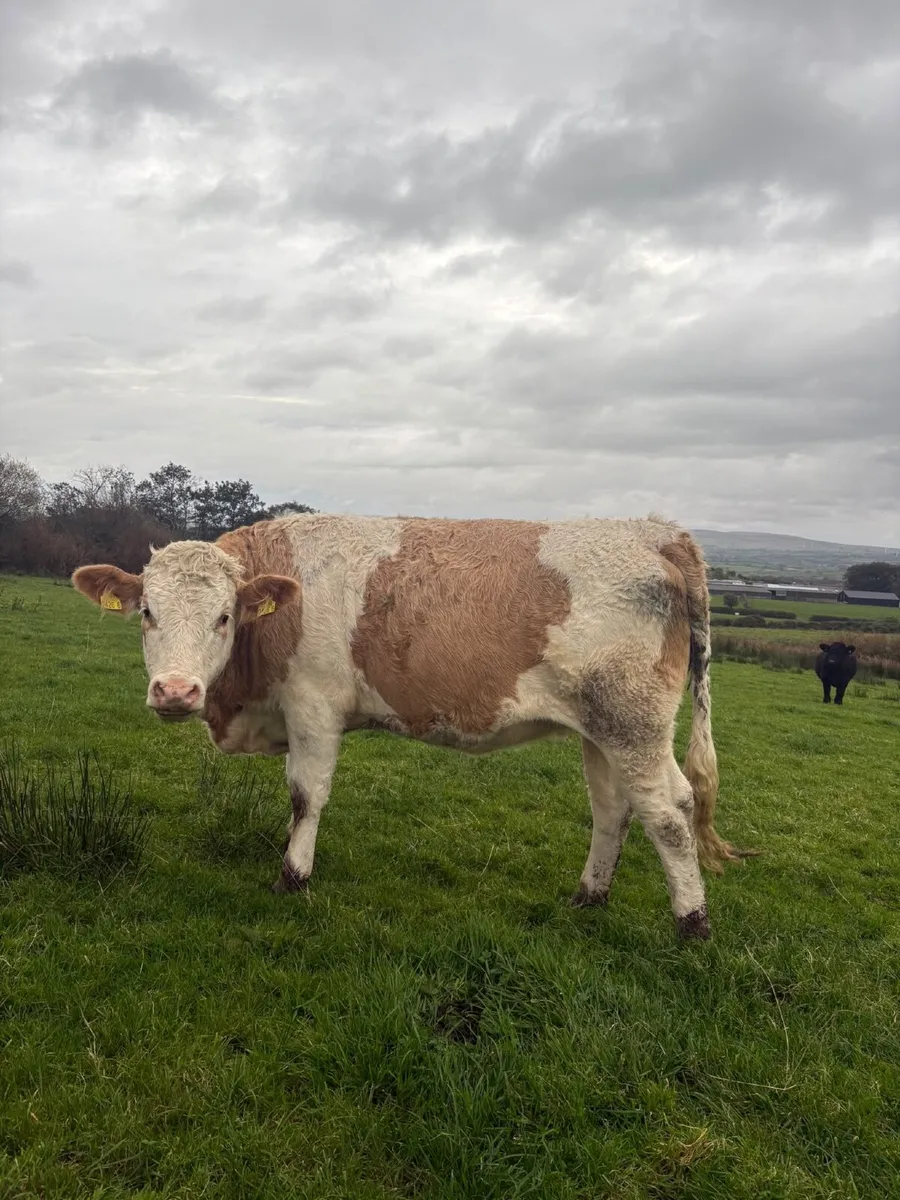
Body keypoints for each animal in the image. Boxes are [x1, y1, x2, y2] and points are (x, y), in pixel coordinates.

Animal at [71, 514, 753, 941]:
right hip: (602, 730)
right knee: (617, 809)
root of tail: (655, 531)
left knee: (669, 812)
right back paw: (589, 897)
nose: (176, 691)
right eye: (146, 612)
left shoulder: (313, 707)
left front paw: (293, 877)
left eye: (223, 616)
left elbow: (306, 796)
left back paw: (692, 925)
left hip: (634, 725)